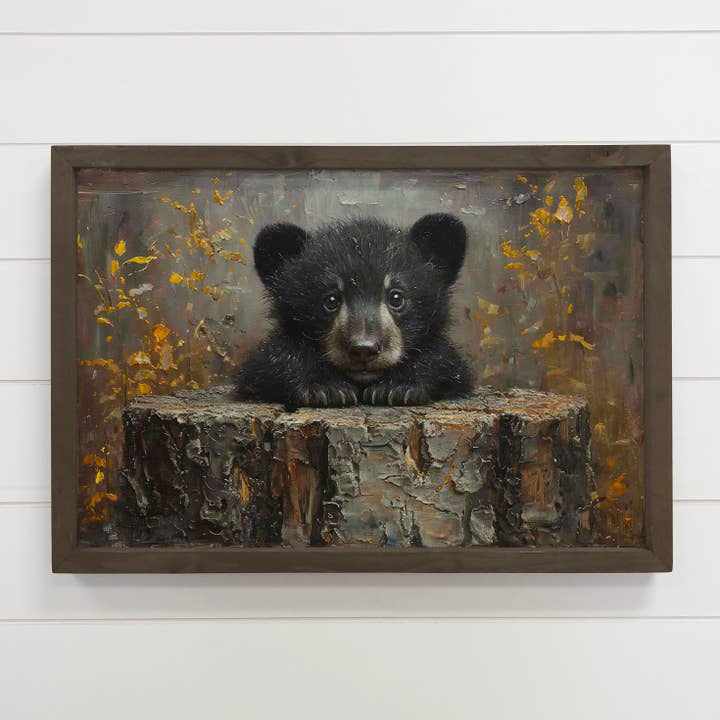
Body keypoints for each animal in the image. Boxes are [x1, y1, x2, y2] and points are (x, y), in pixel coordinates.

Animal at [235, 213, 473, 407]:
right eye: (331, 300)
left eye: (396, 298)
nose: (364, 349)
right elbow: (272, 360)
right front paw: (325, 389)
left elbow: (444, 360)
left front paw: (396, 389)